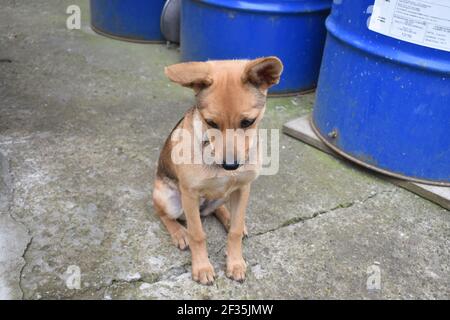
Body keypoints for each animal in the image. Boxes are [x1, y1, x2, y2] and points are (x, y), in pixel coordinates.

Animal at [153, 56, 284, 284]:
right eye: (210, 122)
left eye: (248, 122)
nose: (230, 166)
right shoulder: (189, 194)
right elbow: (198, 235)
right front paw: (202, 267)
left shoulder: (243, 188)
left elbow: (235, 232)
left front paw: (236, 262)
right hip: (168, 199)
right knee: (164, 215)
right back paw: (180, 233)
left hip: (223, 195)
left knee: (218, 209)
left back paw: (228, 218)